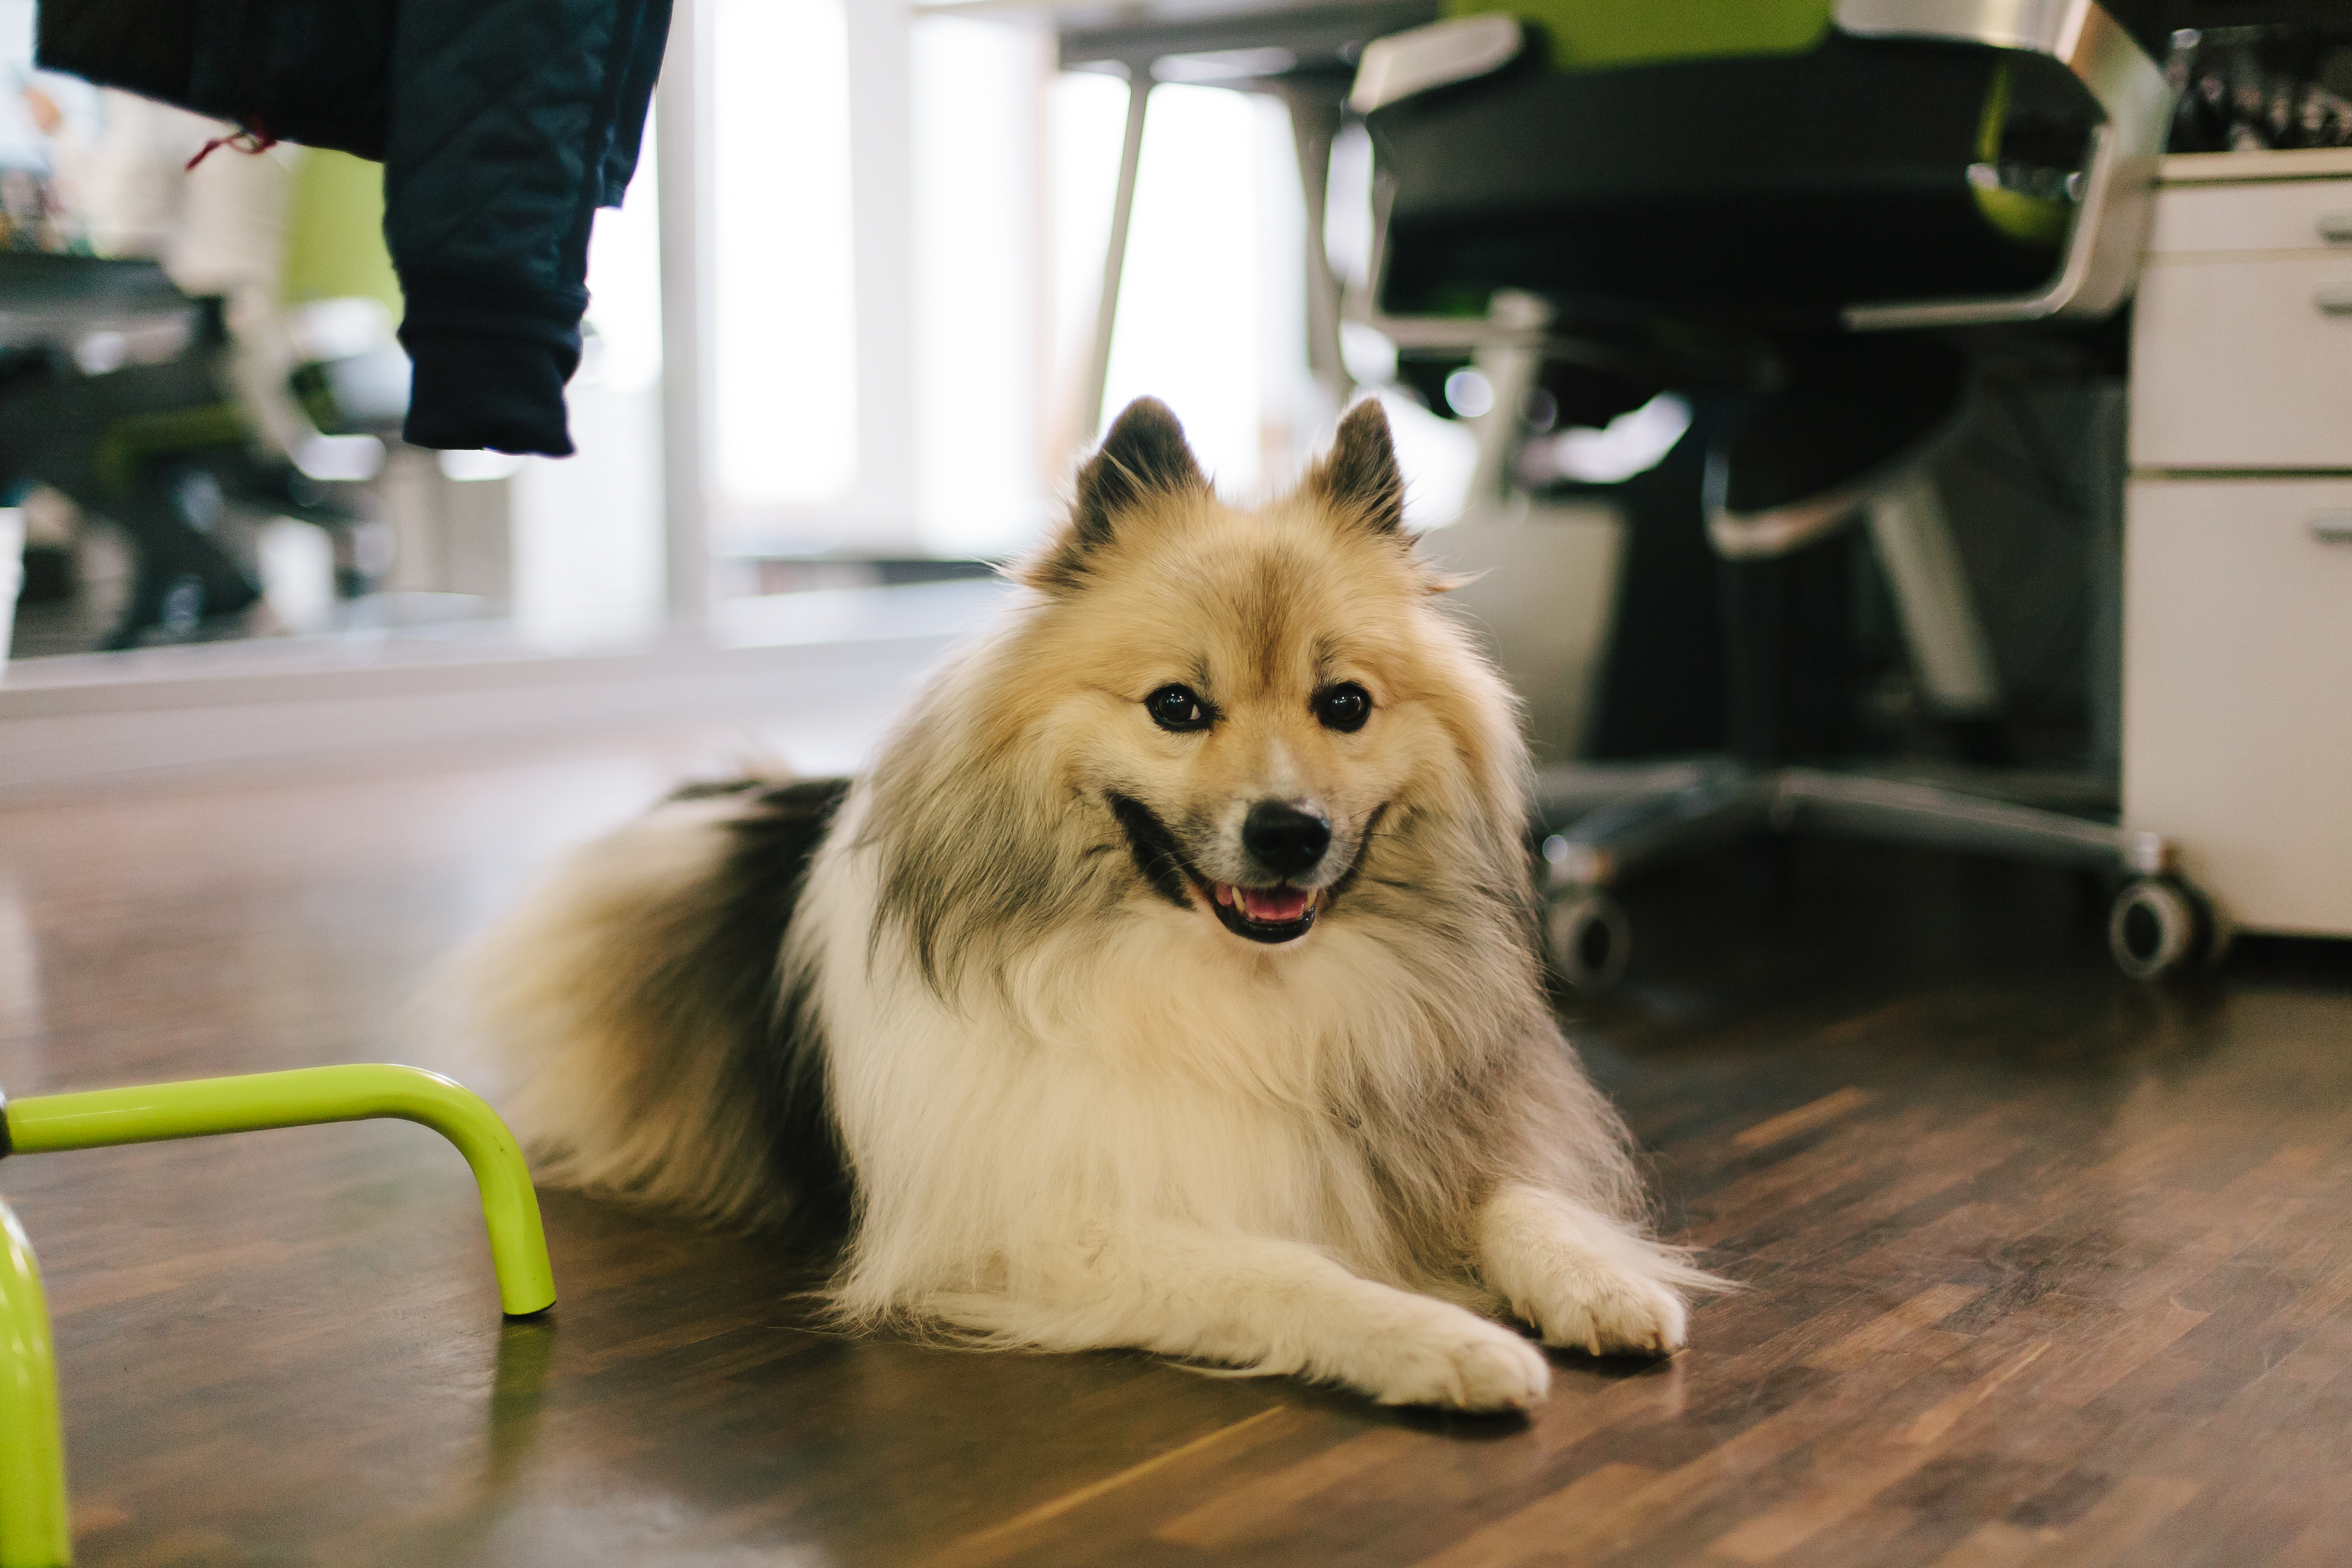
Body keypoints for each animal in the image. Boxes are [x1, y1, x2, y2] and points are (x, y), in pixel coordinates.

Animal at [468, 400, 1721, 1419]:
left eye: (1345, 705)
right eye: (1176, 706)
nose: (1290, 833)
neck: (1221, 982)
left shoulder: (1417, 1126)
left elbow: (1518, 1199)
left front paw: (1600, 1279)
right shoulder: (1038, 1230)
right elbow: (1284, 1270)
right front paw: (1439, 1340)